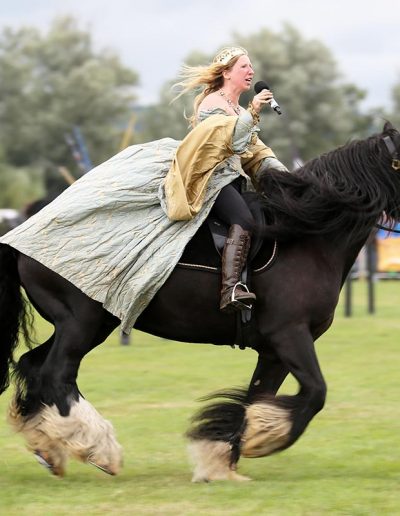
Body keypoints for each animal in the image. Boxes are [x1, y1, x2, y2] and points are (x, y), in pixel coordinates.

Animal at [0, 123, 400, 482]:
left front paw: (222, 461)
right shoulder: (290, 335)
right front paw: (262, 440)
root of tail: (19, 236)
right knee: (57, 373)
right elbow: (316, 392)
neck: (306, 237)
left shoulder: (274, 351)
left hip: (87, 324)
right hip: (81, 323)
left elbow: (255, 397)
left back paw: (48, 447)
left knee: (33, 365)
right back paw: (99, 448)